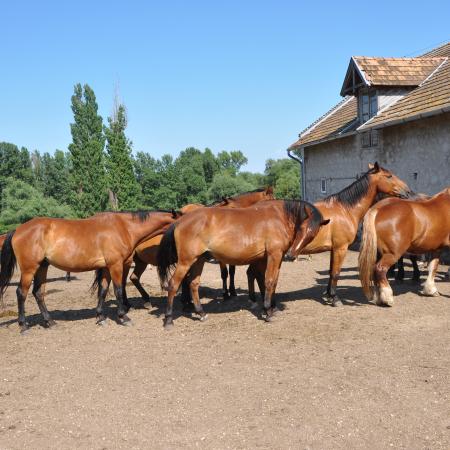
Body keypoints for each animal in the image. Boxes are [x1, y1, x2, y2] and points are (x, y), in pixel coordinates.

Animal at [1, 209, 181, 332]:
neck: (124, 227)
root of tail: (17, 230)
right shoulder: (115, 265)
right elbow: (118, 290)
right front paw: (123, 316)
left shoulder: (106, 267)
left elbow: (103, 290)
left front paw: (100, 317)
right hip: (29, 269)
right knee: (21, 293)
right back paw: (24, 326)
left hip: (42, 267)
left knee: (38, 293)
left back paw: (49, 321)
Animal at [128, 186, 272, 302]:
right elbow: (224, 273)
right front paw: (225, 294)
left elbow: (232, 272)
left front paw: (232, 291)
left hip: (140, 262)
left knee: (134, 277)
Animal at [156, 199, 328, 328]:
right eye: (302, 228)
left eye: (312, 234)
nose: (291, 255)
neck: (279, 217)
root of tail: (180, 221)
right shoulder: (274, 255)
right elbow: (268, 281)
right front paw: (267, 311)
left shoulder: (273, 258)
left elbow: (272, 282)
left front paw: (271, 308)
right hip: (186, 261)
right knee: (173, 284)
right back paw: (169, 319)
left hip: (199, 260)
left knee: (193, 283)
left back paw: (201, 313)